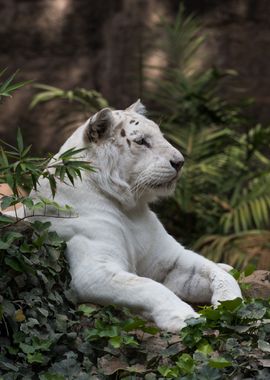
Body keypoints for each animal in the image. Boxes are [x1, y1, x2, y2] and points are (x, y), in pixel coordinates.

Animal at [30, 99, 242, 332]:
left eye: (161, 135)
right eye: (141, 141)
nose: (180, 162)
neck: (130, 209)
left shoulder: (168, 259)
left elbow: (216, 273)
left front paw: (230, 302)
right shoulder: (94, 270)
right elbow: (149, 286)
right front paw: (184, 318)